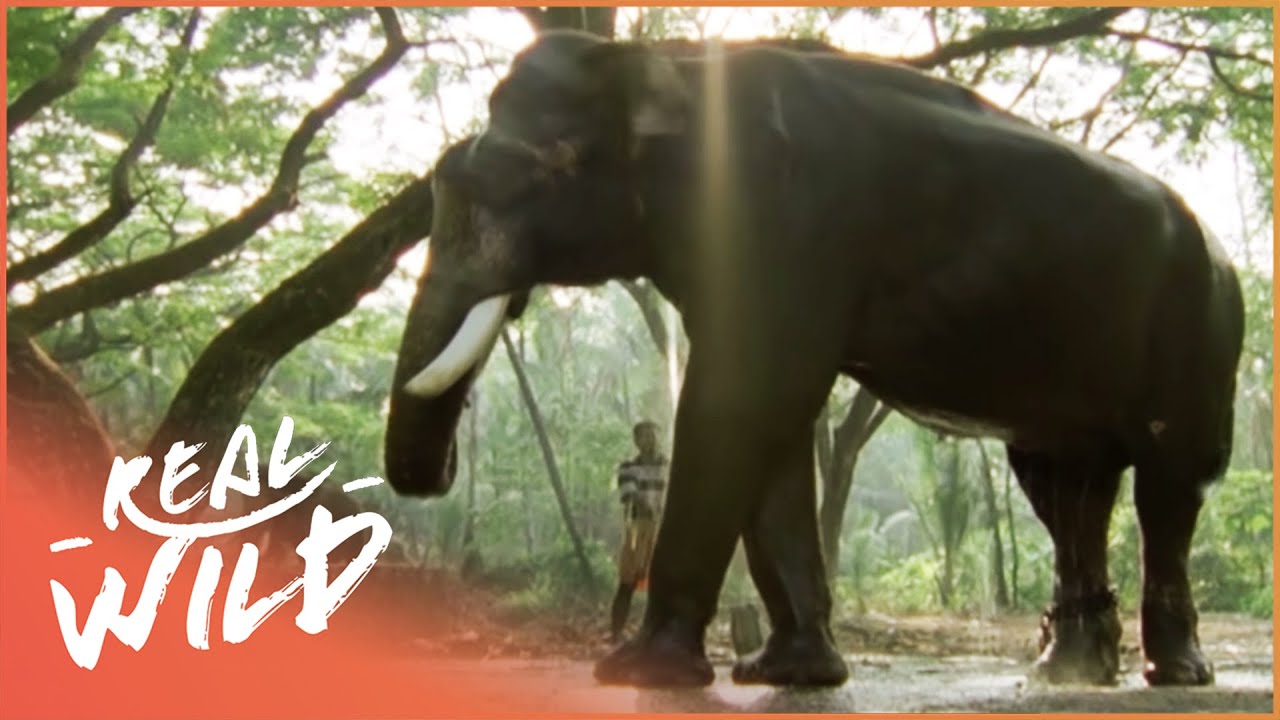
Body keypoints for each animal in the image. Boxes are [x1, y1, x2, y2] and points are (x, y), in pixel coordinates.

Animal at [384, 31, 1245, 689]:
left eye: (550, 164)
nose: (444, 465)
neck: (675, 64)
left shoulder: (787, 218)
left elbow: (745, 397)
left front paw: (637, 673)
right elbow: (774, 425)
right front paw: (790, 674)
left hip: (1202, 328)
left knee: (1171, 481)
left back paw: (1177, 673)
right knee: (1064, 488)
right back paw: (1066, 671)